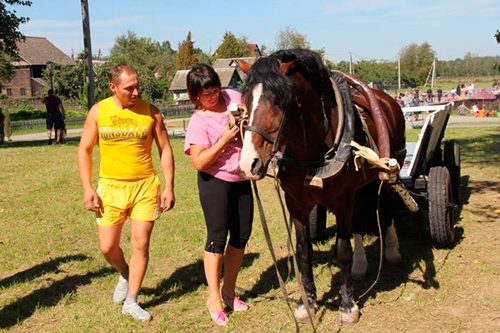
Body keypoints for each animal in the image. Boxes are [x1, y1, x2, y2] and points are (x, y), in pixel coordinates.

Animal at [237, 48, 406, 322]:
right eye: (245, 101)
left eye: (279, 101)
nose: (247, 163)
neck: (312, 153)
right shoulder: (296, 203)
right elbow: (303, 251)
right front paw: (307, 303)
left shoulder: (343, 200)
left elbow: (343, 250)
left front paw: (348, 305)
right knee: (359, 221)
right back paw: (361, 266)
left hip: (390, 171)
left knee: (386, 208)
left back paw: (391, 250)